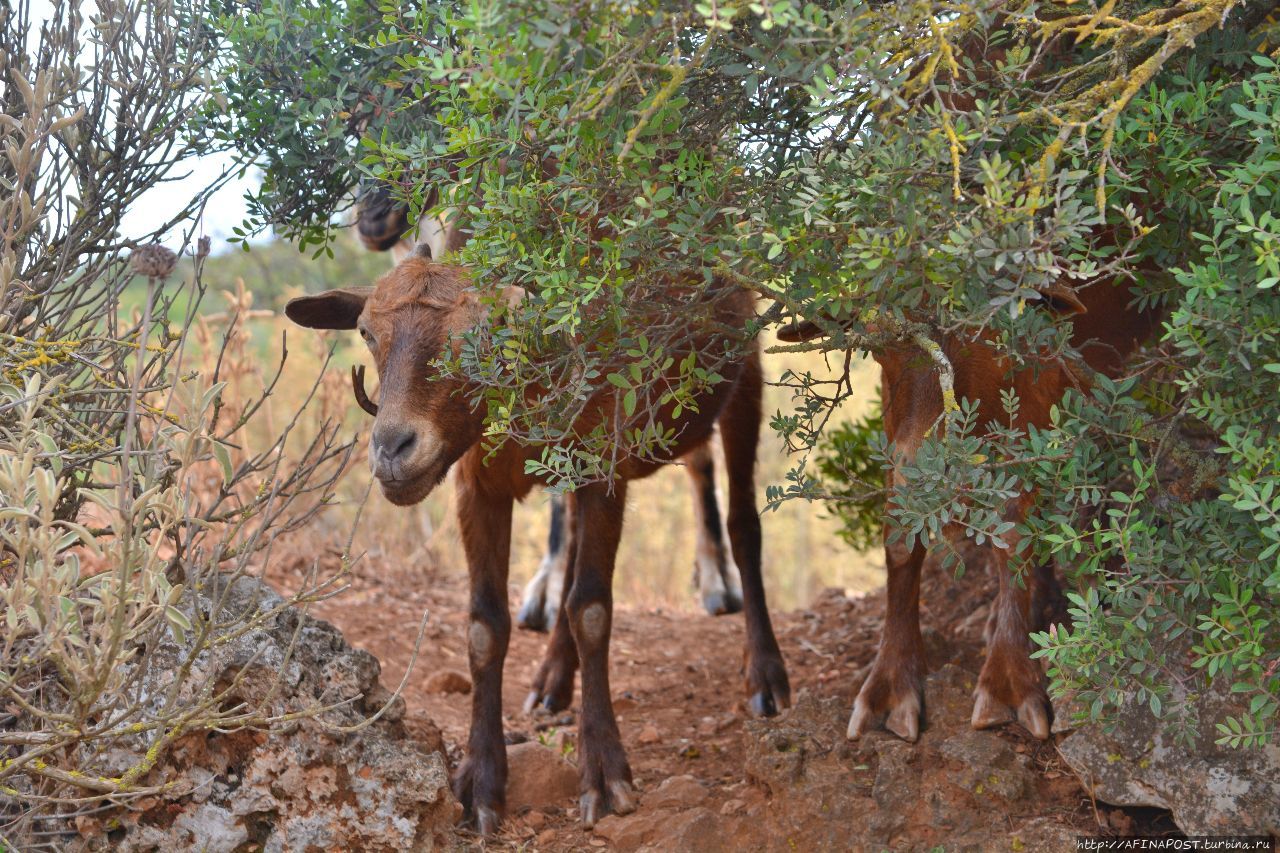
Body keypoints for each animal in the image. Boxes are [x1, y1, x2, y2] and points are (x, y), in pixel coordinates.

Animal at [286, 252, 788, 829]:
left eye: (485, 331)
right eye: (367, 332)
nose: (393, 449)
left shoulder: (604, 465)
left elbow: (591, 610)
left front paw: (605, 773)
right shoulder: (478, 484)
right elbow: (485, 627)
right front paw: (480, 782)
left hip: (746, 373)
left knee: (744, 523)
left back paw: (766, 676)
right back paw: (553, 678)